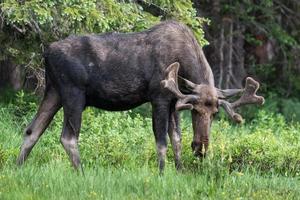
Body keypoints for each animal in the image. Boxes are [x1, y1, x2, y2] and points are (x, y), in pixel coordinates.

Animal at [17, 20, 264, 173]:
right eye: (195, 110)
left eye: (214, 113)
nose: (200, 148)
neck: (183, 66)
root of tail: (46, 53)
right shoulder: (159, 97)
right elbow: (161, 140)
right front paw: (162, 173)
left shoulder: (174, 101)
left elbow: (176, 139)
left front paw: (180, 170)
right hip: (73, 93)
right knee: (67, 137)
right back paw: (82, 173)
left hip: (53, 91)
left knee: (32, 130)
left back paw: (17, 167)